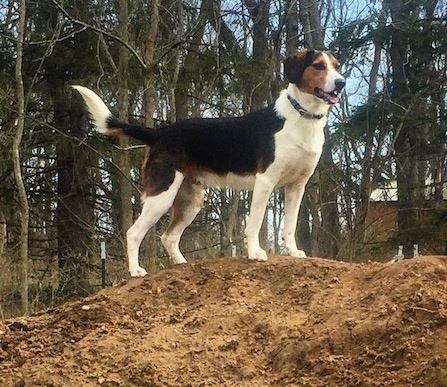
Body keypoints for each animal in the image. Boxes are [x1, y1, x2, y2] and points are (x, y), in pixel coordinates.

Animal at [74, 49, 346, 278]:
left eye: (337, 66)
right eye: (318, 66)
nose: (342, 83)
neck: (301, 117)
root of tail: (160, 132)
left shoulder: (296, 186)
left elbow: (290, 226)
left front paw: (293, 252)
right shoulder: (265, 182)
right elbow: (254, 223)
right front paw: (255, 253)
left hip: (191, 201)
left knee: (168, 237)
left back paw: (182, 265)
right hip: (162, 194)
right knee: (134, 233)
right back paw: (135, 271)